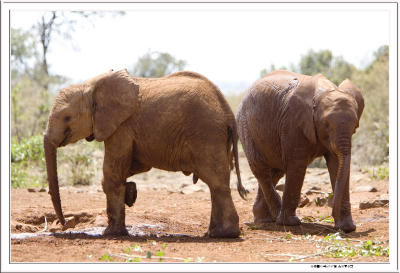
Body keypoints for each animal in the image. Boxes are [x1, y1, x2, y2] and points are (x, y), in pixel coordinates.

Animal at [45, 68, 248, 236]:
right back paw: (212, 233)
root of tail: (228, 111)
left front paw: (110, 233)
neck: (92, 85)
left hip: (206, 133)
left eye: (67, 117)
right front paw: (130, 193)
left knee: (217, 182)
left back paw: (223, 234)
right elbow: (132, 167)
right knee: (215, 184)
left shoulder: (122, 126)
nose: (65, 223)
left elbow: (111, 175)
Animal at [236, 70, 364, 232]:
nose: (331, 216)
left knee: (275, 172)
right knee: (261, 169)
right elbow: (297, 164)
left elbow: (336, 165)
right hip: (245, 125)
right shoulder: (293, 122)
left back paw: (265, 219)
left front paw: (347, 227)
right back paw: (276, 217)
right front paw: (290, 223)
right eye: (326, 124)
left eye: (355, 127)